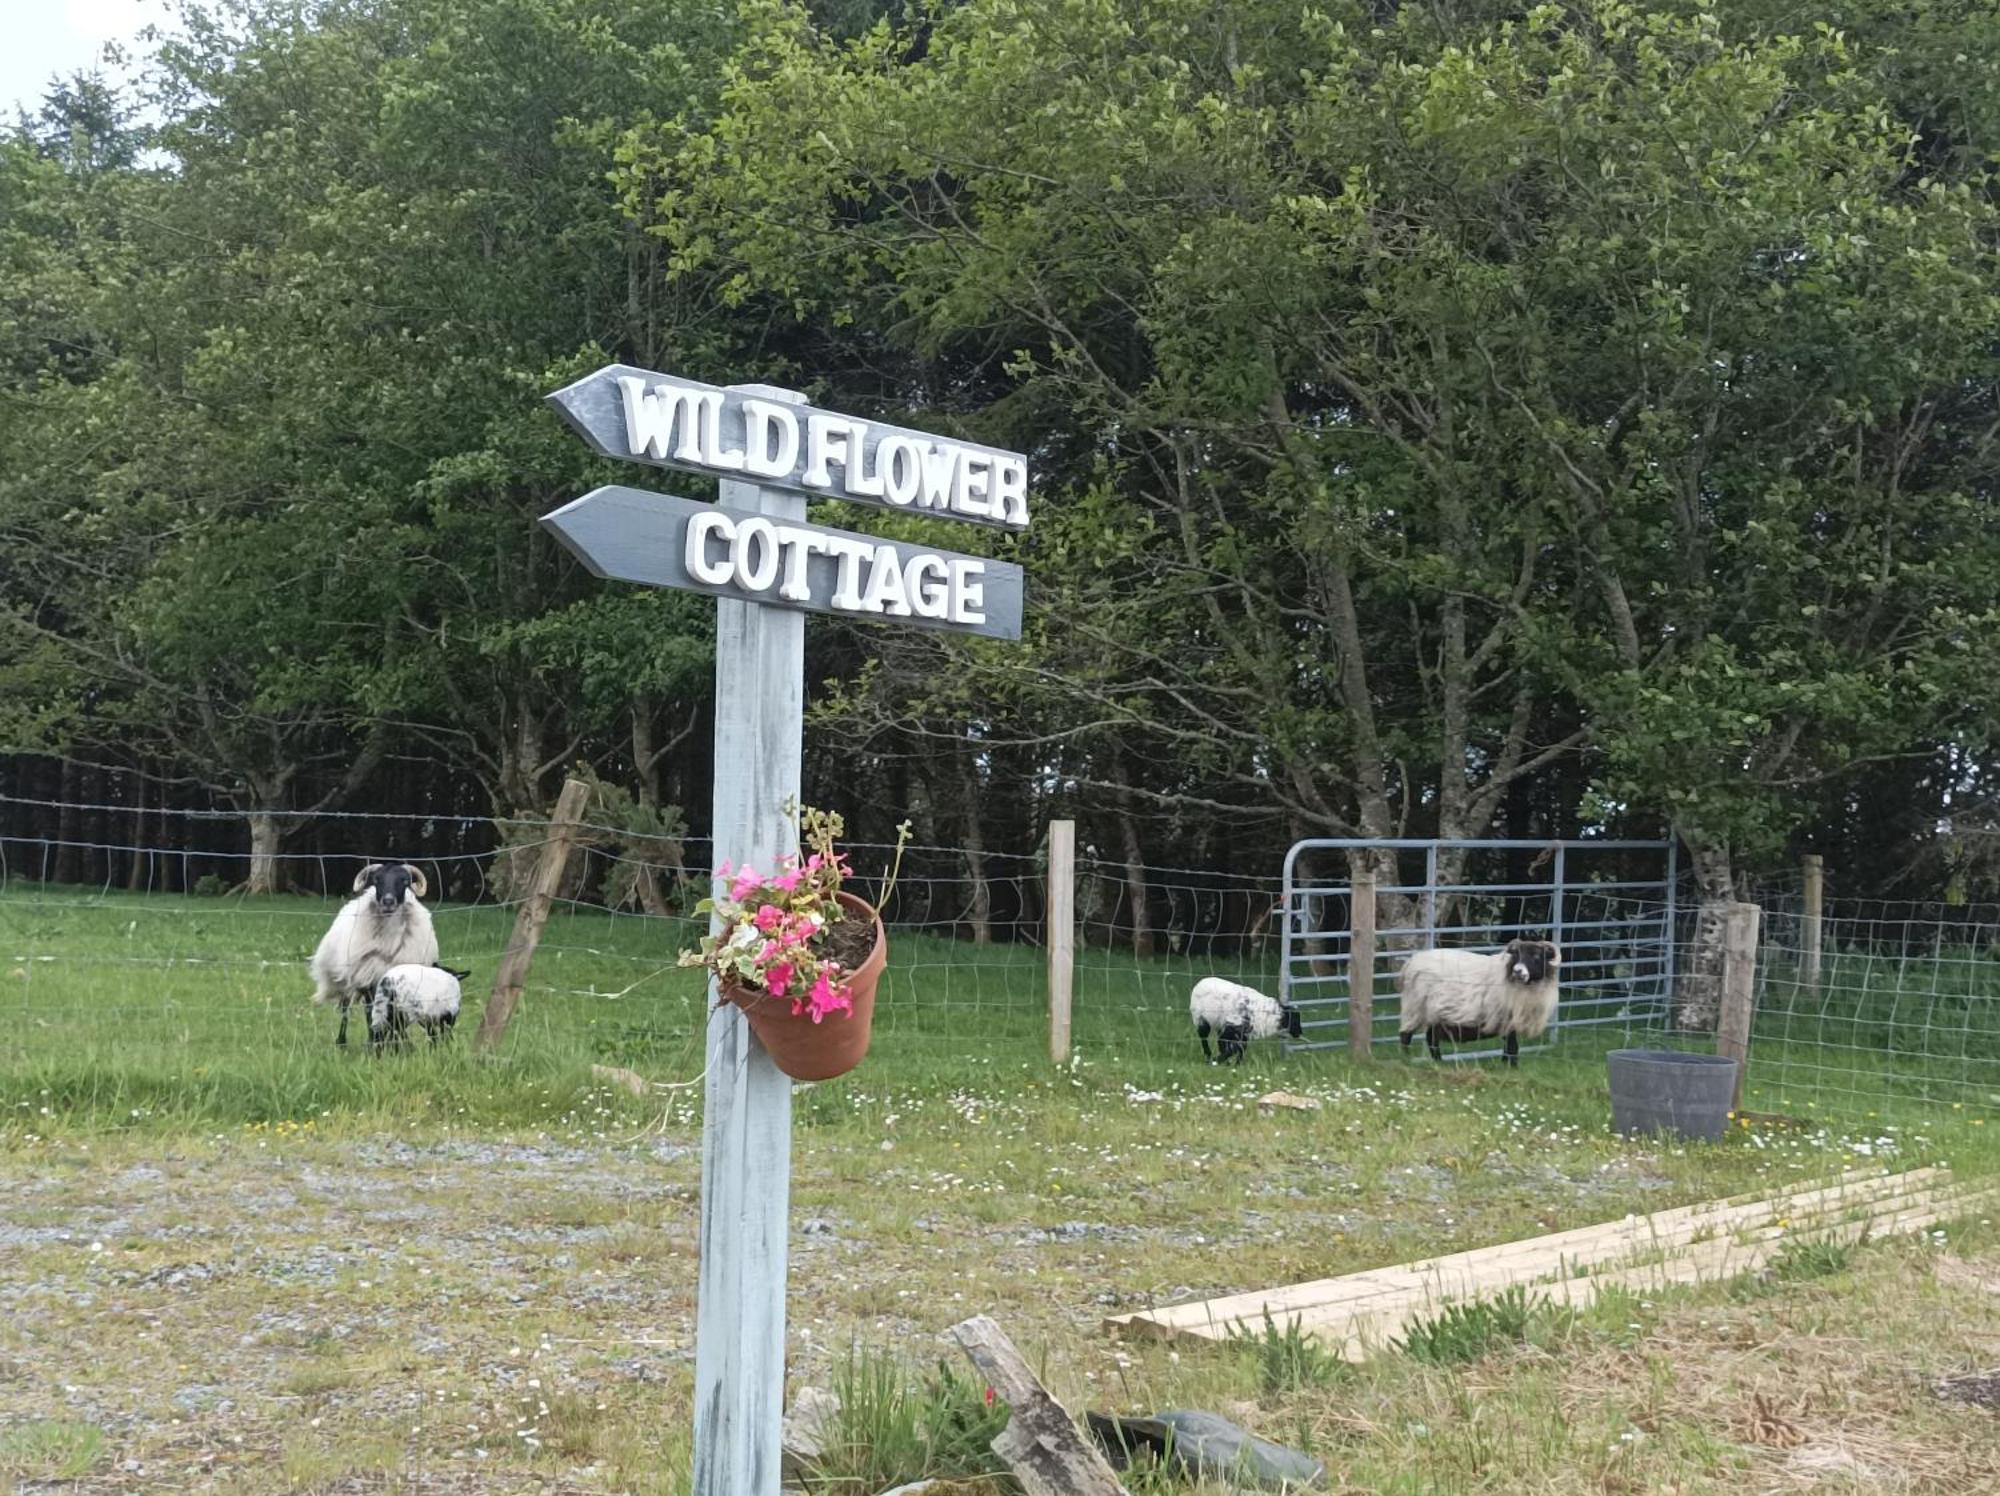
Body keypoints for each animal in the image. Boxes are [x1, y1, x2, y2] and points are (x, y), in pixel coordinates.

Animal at [306, 860, 436, 1048]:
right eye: (376, 880)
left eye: (405, 881)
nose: (388, 901)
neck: (389, 940)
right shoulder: (369, 979)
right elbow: (371, 1013)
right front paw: (375, 1043)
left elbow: (397, 1018)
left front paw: (399, 1044)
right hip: (347, 981)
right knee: (346, 1010)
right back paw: (342, 1042)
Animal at [1184, 980, 1312, 1064]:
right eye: (1295, 1020)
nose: (1300, 1033)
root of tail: (1199, 983)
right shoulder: (1232, 1026)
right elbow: (1232, 1048)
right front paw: (1218, 1061)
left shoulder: (1242, 1033)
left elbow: (1240, 1048)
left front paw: (1235, 1064)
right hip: (1200, 1019)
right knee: (1204, 1038)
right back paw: (1209, 1057)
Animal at [1392, 940, 1560, 1072]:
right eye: (1516, 955)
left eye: (1537, 956)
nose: (1517, 971)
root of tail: (1411, 962)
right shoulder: (1506, 1018)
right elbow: (1512, 1046)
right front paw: (1513, 1067)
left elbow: (1508, 1045)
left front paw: (1506, 1065)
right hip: (1414, 1006)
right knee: (1406, 1035)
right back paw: (1406, 1060)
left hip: (1433, 1013)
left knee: (1431, 1039)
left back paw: (1438, 1063)